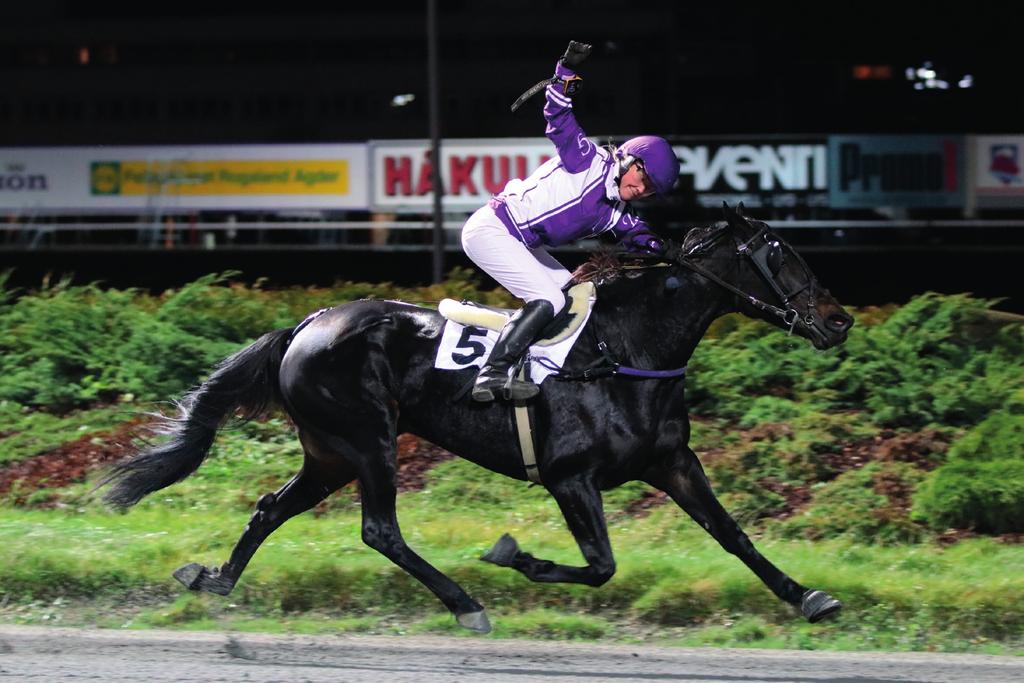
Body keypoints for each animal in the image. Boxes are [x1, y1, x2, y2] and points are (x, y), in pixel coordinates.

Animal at [101, 205, 856, 634]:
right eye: (779, 254)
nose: (839, 319)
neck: (629, 350)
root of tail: (308, 323)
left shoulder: (671, 462)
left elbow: (733, 534)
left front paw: (808, 597)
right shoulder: (570, 477)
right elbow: (600, 565)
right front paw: (514, 555)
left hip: (329, 452)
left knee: (270, 507)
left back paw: (215, 579)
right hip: (369, 440)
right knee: (380, 530)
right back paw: (465, 602)